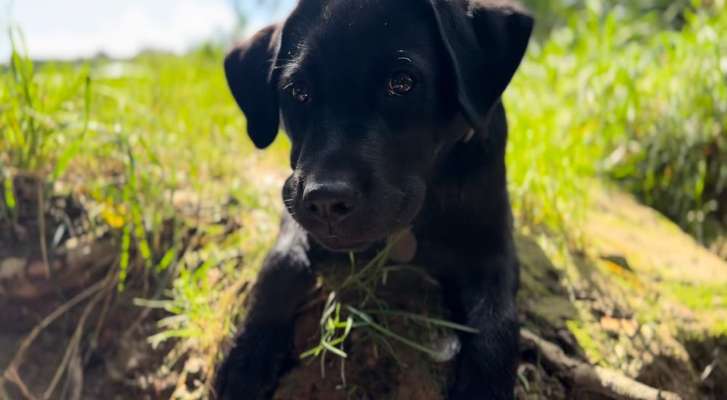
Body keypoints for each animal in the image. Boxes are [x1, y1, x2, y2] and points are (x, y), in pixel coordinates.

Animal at [216, 0, 536, 400]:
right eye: (298, 91)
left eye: (402, 83)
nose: (326, 201)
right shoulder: (294, 209)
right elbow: (281, 263)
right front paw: (248, 354)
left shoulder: (493, 250)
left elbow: (498, 320)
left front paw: (483, 389)